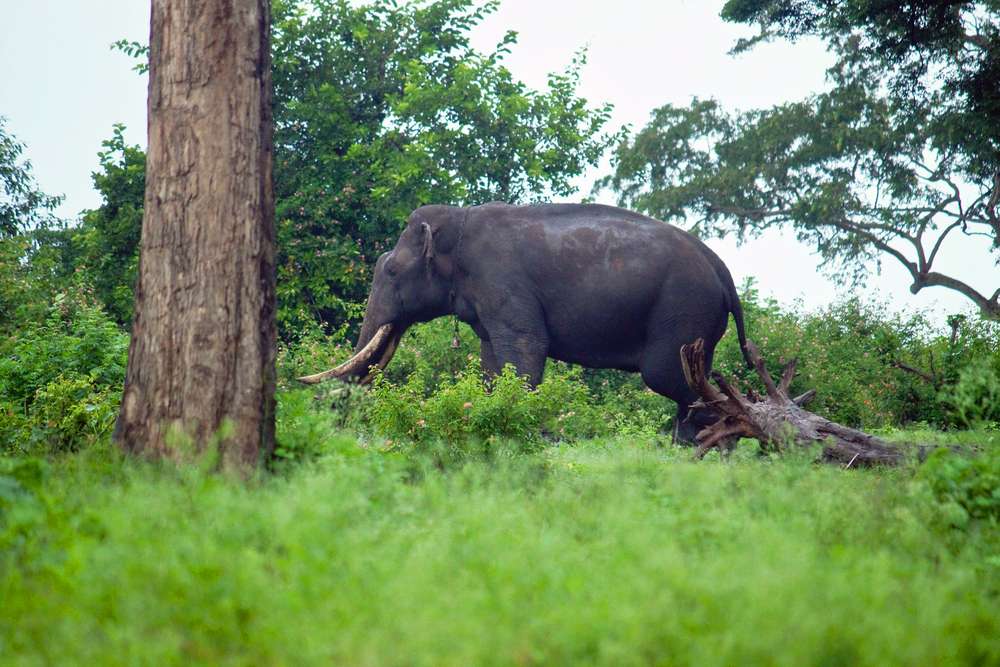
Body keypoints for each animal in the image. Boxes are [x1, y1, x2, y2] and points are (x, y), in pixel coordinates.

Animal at [299, 202, 753, 443]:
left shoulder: (502, 280)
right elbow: (491, 362)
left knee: (670, 378)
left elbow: (526, 349)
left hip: (683, 311)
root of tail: (724, 272)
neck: (459, 221)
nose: (337, 422)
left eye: (391, 271)